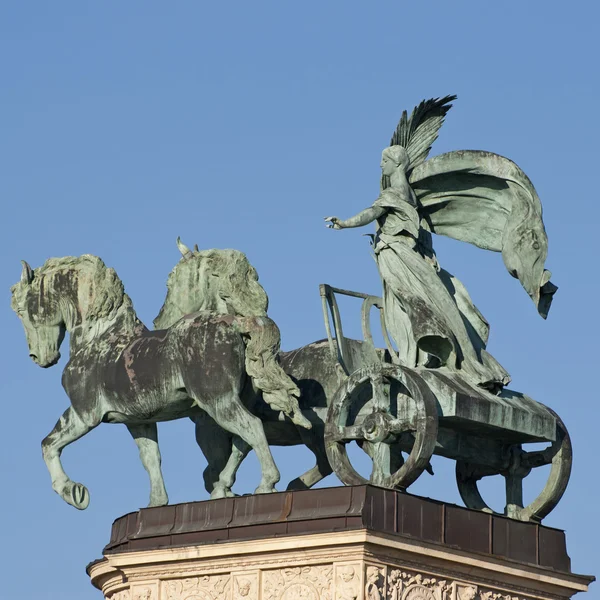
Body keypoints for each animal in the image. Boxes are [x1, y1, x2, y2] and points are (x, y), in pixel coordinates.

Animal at [11, 255, 310, 508]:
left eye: (23, 310)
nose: (38, 357)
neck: (98, 337)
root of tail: (235, 324)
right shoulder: (138, 420)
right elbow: (151, 458)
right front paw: (156, 502)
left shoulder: (84, 414)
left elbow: (49, 443)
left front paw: (73, 492)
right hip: (232, 401)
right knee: (242, 441)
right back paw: (223, 489)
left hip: (217, 402)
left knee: (252, 428)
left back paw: (266, 484)